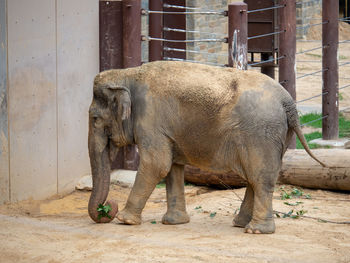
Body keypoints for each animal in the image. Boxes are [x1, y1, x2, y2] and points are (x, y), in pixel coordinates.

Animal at [88, 60, 326, 234]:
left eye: (95, 119)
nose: (107, 208)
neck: (127, 74)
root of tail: (289, 103)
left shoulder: (150, 120)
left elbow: (157, 165)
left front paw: (124, 220)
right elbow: (172, 167)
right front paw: (174, 223)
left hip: (262, 133)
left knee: (261, 177)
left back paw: (256, 230)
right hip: (276, 134)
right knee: (254, 177)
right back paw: (240, 224)